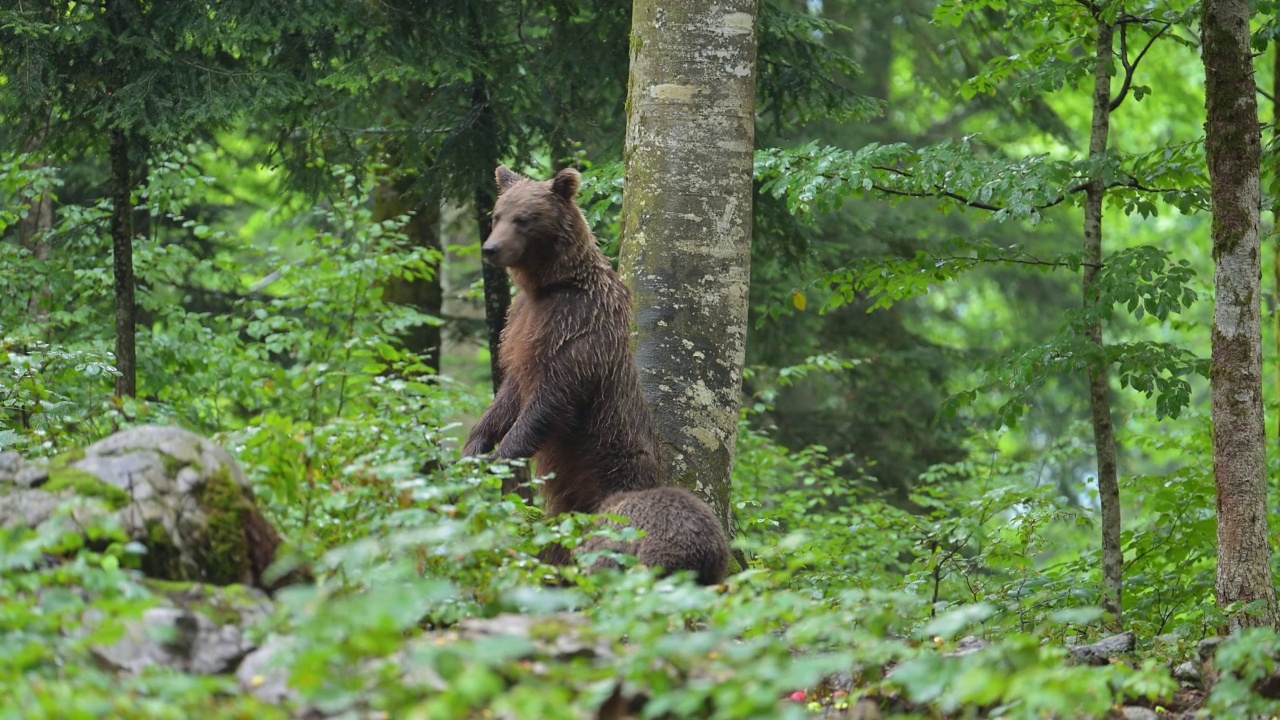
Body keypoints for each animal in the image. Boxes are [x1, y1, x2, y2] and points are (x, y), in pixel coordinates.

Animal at [465, 163, 732, 584]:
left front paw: (501, 458)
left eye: (524, 219)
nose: (491, 248)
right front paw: (473, 448)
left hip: (613, 467)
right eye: (497, 215)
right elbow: (508, 394)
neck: (553, 285)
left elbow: (548, 402)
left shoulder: (577, 331)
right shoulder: (520, 328)